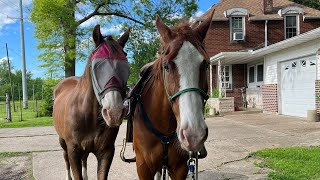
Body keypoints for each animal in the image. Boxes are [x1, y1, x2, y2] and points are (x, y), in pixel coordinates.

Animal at [53, 24, 130, 179]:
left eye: (126, 67)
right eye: (97, 66)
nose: (114, 113)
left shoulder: (106, 152)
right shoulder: (73, 151)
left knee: (85, 158)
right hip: (62, 141)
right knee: (65, 158)